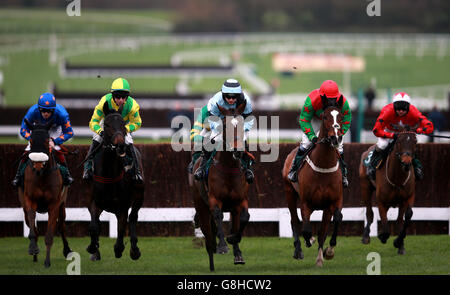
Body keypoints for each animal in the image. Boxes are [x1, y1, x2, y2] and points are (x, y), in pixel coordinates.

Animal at [17, 119, 72, 268]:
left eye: (47, 141)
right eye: (31, 140)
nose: (38, 166)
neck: (42, 176)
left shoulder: (54, 204)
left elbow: (49, 235)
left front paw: (47, 262)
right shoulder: (29, 200)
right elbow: (32, 224)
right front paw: (33, 248)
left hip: (62, 205)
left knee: (62, 227)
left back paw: (67, 250)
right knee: (31, 224)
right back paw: (35, 255)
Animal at [85, 104, 144, 262]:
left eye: (123, 124)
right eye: (106, 124)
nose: (121, 145)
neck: (108, 173)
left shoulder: (122, 205)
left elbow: (121, 227)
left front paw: (119, 248)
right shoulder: (94, 201)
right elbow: (94, 226)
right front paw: (93, 248)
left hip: (139, 197)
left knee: (132, 217)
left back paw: (134, 250)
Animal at [192, 100, 251, 272]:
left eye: (242, 123)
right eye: (225, 125)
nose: (238, 150)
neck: (228, 167)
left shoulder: (241, 200)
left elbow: (245, 217)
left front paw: (233, 240)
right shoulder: (214, 199)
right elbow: (218, 216)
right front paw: (223, 246)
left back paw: (237, 254)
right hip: (201, 207)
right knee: (208, 235)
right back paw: (212, 259)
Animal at [282, 96, 344, 268]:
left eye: (340, 116)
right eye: (325, 116)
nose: (336, 137)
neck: (323, 166)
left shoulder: (334, 201)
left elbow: (334, 221)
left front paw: (326, 253)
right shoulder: (306, 202)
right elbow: (306, 228)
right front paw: (309, 240)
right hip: (289, 192)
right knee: (295, 221)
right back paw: (299, 250)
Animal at [358, 128, 418, 256]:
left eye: (415, 142)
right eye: (399, 142)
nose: (406, 162)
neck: (397, 178)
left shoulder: (408, 197)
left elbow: (406, 217)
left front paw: (399, 243)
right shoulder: (381, 201)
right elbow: (384, 222)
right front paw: (383, 237)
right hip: (365, 187)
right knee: (369, 213)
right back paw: (366, 237)